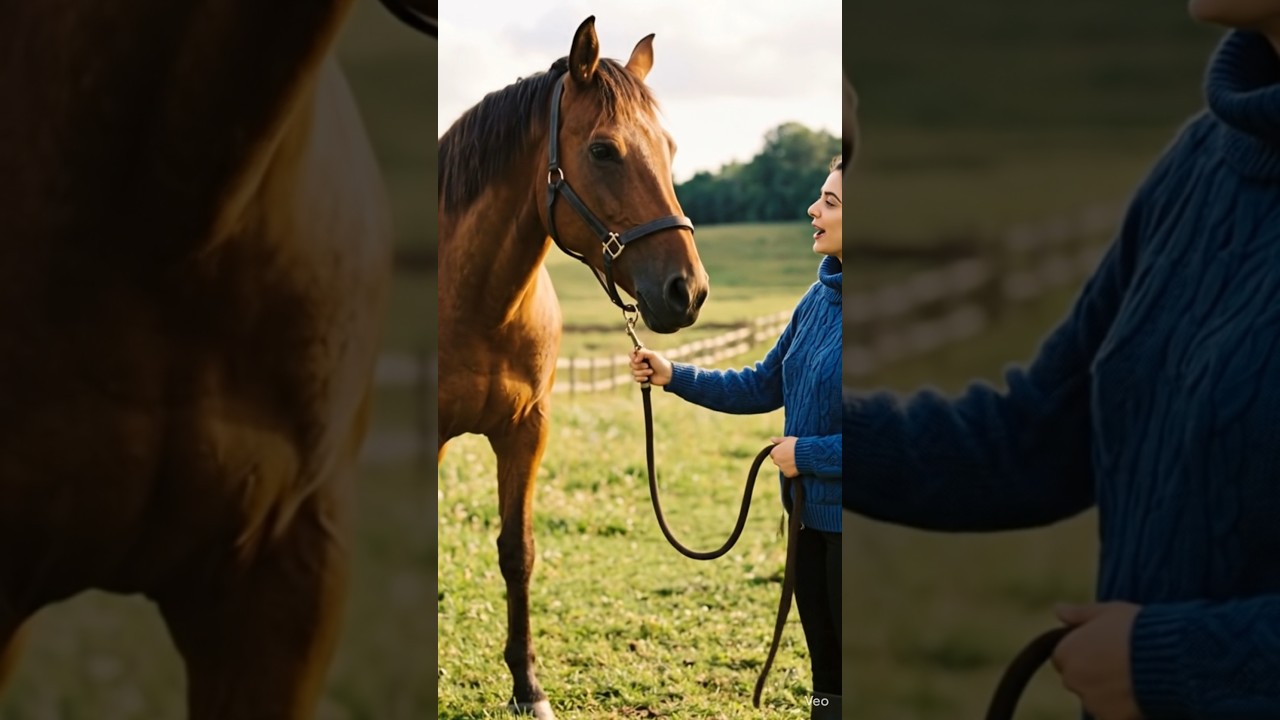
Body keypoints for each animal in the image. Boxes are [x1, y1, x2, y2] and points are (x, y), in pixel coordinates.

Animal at [438, 16, 710, 719]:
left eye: (670, 147)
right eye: (604, 151)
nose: (688, 291)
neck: (477, 303)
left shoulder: (527, 431)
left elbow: (518, 553)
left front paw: (527, 687)